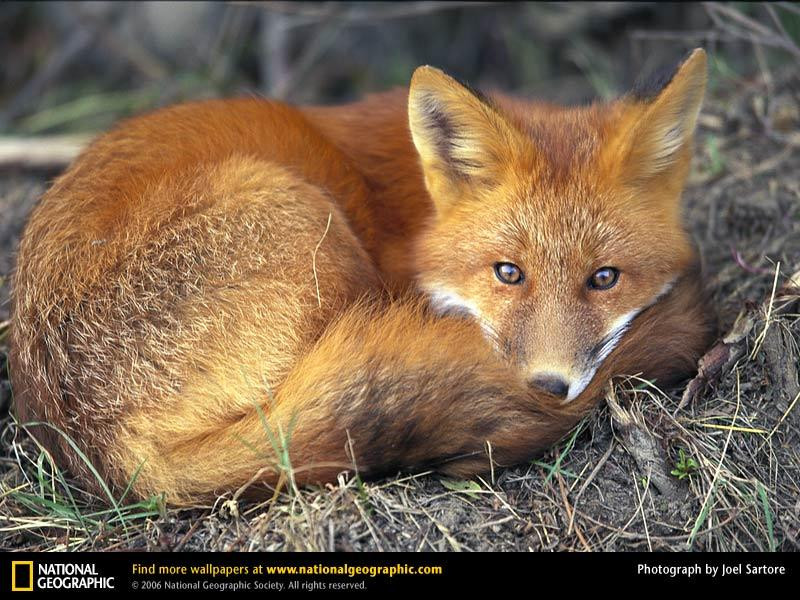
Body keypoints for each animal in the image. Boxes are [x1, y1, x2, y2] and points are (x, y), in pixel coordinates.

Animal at [10, 49, 712, 504]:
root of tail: (106, 451)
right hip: (306, 217)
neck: (419, 212)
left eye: (605, 278)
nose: (548, 386)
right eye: (508, 273)